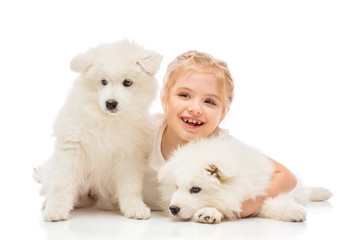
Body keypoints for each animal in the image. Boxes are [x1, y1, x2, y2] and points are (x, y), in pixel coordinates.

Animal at [33, 39, 162, 221]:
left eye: (127, 82)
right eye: (103, 81)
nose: (111, 103)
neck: (107, 119)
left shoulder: (128, 156)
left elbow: (130, 186)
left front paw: (135, 208)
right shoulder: (71, 149)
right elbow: (62, 183)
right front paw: (55, 210)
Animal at [159, 133, 334, 223]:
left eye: (195, 189)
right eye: (176, 187)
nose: (173, 209)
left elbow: (267, 202)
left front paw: (293, 211)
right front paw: (208, 212)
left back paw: (324, 192)